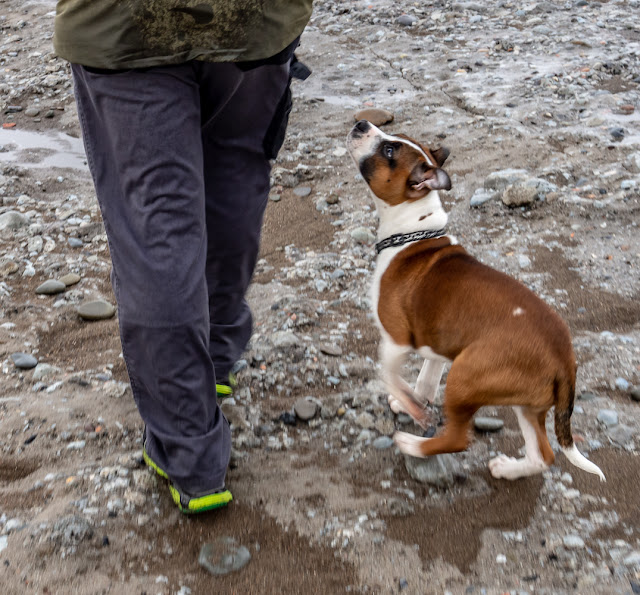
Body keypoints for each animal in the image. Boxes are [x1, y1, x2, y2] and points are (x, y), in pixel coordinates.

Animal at [348, 121, 608, 484]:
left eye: (389, 151)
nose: (361, 124)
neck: (412, 233)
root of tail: (565, 360)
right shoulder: (436, 346)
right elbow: (424, 380)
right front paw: (414, 401)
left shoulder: (396, 340)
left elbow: (388, 374)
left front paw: (412, 408)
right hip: (526, 403)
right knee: (544, 454)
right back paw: (509, 469)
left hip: (465, 376)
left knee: (459, 439)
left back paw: (411, 445)